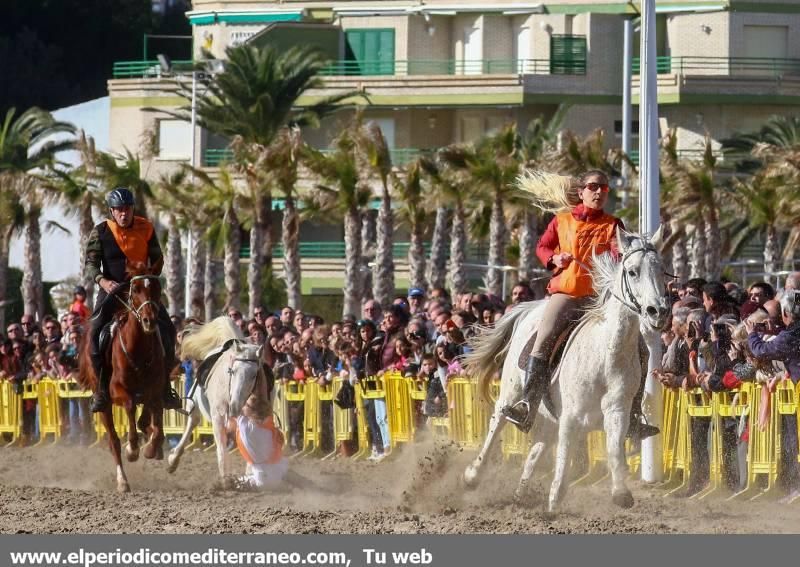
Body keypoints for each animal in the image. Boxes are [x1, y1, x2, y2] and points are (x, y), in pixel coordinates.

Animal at [78, 262, 167, 492]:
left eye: (157, 287)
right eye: (135, 289)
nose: (149, 320)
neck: (138, 349)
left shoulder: (155, 390)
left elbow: (157, 423)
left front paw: (152, 447)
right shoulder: (119, 391)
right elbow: (129, 407)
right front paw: (133, 449)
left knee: (145, 419)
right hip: (104, 404)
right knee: (113, 441)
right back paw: (122, 480)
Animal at [462, 227, 668, 516]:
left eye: (661, 270)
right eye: (632, 272)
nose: (657, 311)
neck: (605, 353)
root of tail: (531, 308)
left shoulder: (617, 411)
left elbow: (614, 449)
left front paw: (620, 492)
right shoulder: (571, 416)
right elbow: (564, 455)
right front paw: (555, 498)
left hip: (548, 415)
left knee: (535, 450)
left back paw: (520, 496)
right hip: (511, 393)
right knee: (497, 423)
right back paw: (472, 476)